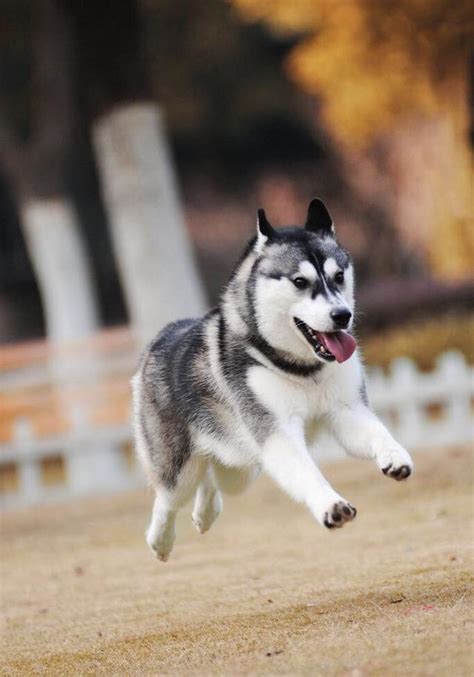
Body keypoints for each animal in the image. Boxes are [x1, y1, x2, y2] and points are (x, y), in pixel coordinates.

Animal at [131, 199, 412, 560]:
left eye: (338, 276)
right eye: (300, 282)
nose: (342, 315)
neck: (303, 369)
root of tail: (161, 336)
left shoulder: (347, 412)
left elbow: (378, 434)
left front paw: (395, 456)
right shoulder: (277, 433)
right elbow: (307, 473)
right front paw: (330, 505)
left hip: (240, 463)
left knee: (215, 477)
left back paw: (204, 513)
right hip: (180, 467)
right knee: (168, 498)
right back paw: (160, 540)